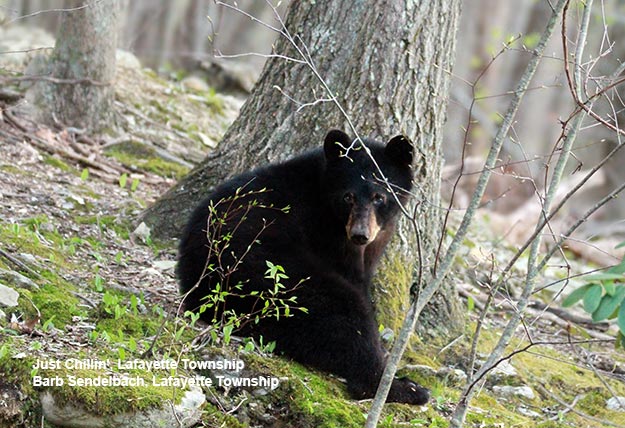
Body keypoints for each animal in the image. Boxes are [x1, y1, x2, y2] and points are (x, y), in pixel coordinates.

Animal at [178, 130, 426, 404]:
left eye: (379, 197)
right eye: (348, 196)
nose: (360, 234)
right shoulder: (332, 239)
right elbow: (356, 283)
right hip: (280, 280)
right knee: (346, 313)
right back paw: (404, 388)